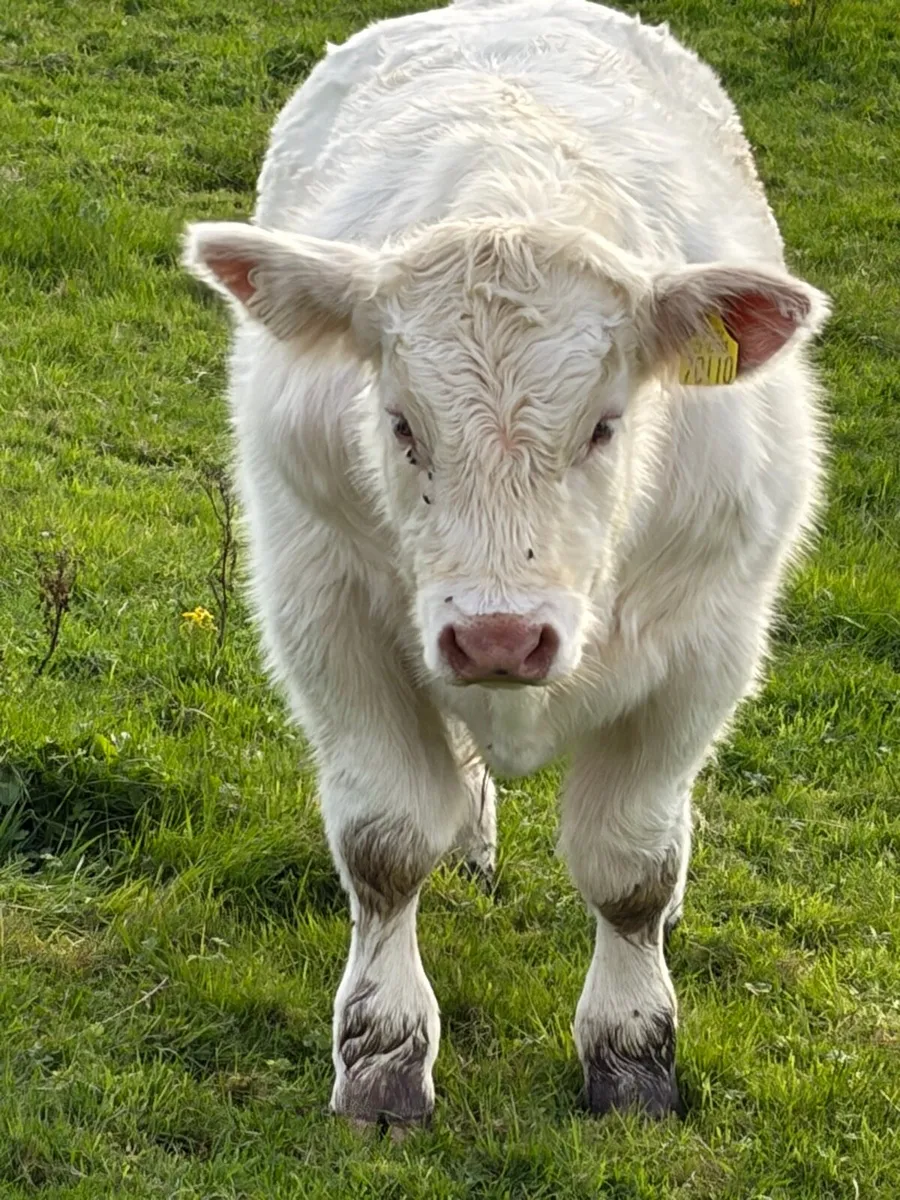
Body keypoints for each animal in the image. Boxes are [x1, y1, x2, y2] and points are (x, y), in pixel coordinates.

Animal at [184, 0, 829, 1125]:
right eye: (401, 423)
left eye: (605, 425)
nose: (498, 635)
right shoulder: (324, 607)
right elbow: (387, 842)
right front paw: (382, 1058)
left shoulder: (711, 639)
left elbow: (633, 867)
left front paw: (632, 1057)